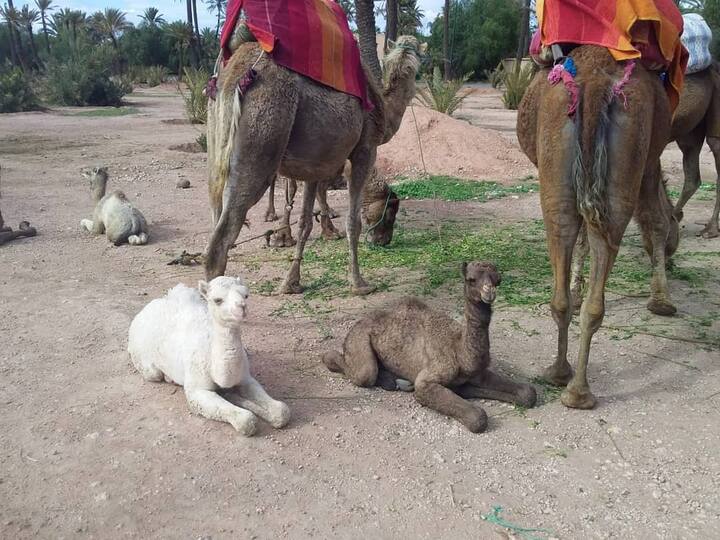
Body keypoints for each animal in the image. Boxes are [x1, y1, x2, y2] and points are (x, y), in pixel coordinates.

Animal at [127, 276, 290, 436]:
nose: (242, 307)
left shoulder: (245, 378)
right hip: (143, 360)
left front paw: (238, 398)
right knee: (153, 373)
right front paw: (236, 401)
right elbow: (245, 420)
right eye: (217, 300)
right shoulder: (197, 390)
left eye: (246, 295)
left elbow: (282, 411)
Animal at [205, 36, 424, 294]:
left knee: (216, 212)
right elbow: (353, 222)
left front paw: (291, 282)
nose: (384, 240)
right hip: (261, 136)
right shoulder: (365, 150)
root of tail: (236, 76)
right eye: (391, 210)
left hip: (218, 140)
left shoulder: (315, 165)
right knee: (220, 242)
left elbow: (305, 222)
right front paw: (358, 283)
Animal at [322, 261, 536, 433]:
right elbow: (477, 418)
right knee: (362, 372)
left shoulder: (477, 374)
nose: (489, 292)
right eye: (471, 279)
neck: (460, 350)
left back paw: (394, 382)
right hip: (358, 339)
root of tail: (358, 322)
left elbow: (528, 393)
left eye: (498, 279)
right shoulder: (428, 380)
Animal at [517, 46, 679, 409]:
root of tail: (595, 83)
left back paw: (567, 379)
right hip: (625, 161)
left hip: (560, 171)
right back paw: (573, 384)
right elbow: (657, 221)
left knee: (567, 235)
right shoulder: (650, 163)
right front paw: (661, 300)